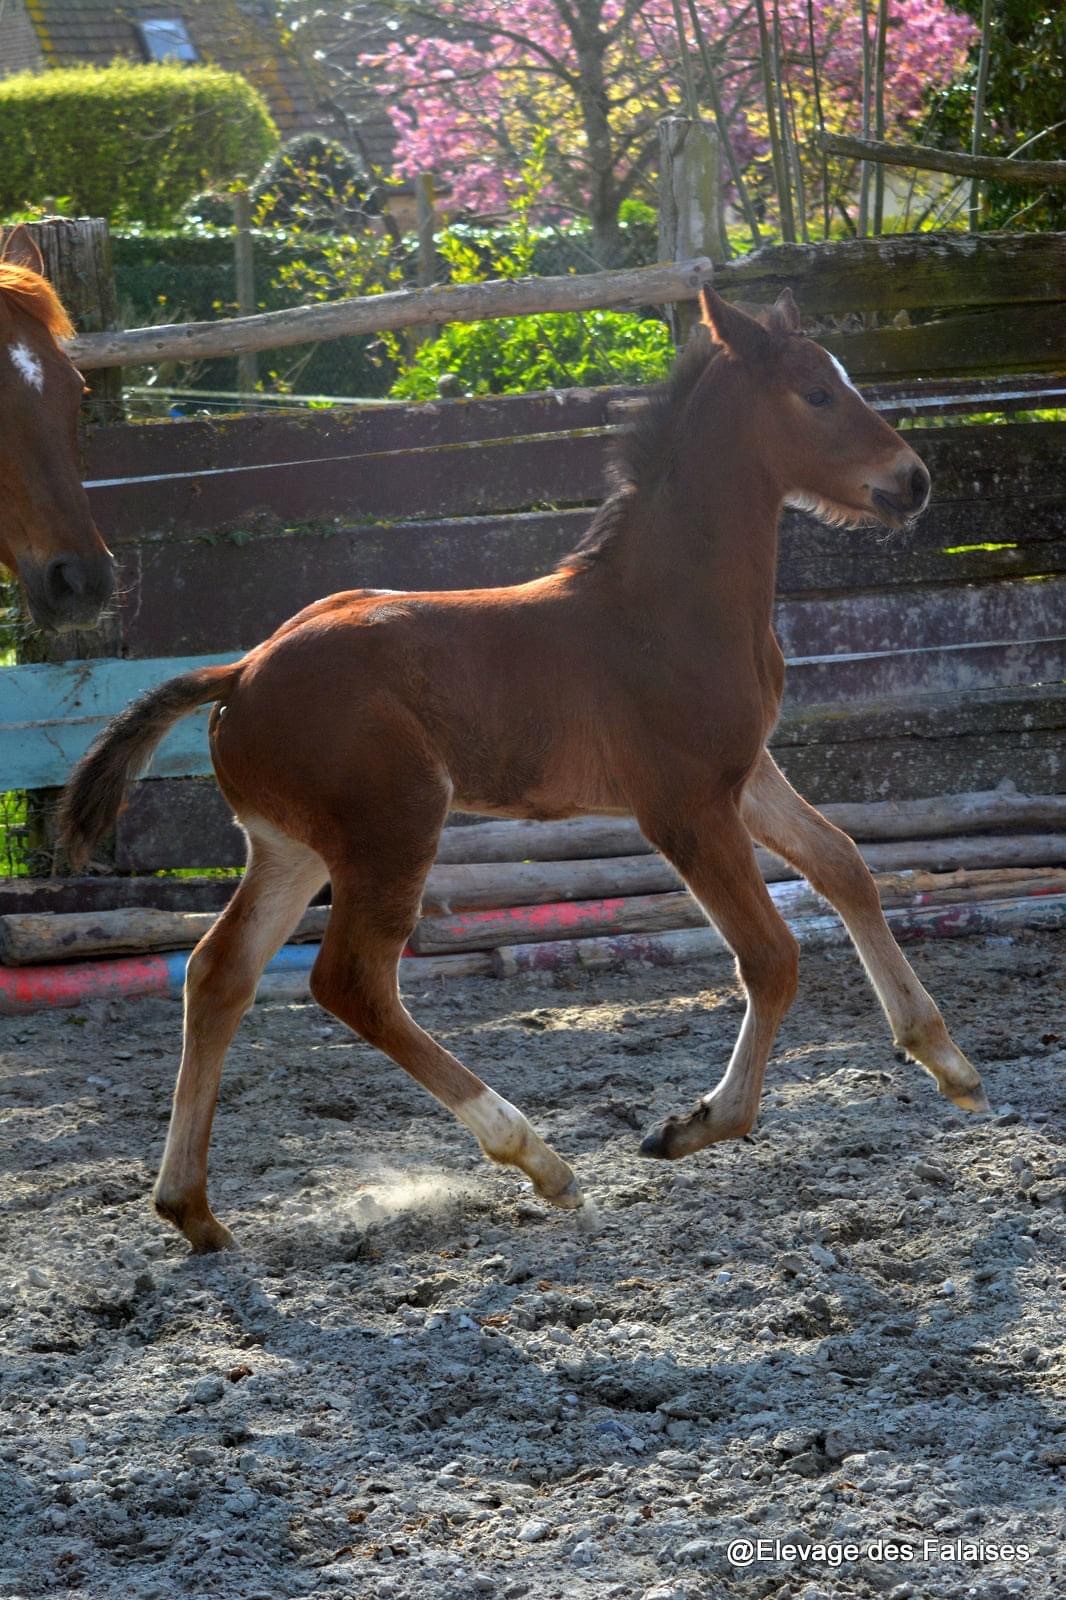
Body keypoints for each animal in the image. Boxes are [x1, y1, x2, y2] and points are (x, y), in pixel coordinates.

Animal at [60, 291, 985, 1260]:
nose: (914, 480)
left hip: (292, 847)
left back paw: (192, 1209)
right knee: (349, 980)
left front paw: (949, 1062)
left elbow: (844, 863)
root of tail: (239, 671)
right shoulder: (683, 805)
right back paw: (539, 1158)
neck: (664, 606)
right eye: (815, 393)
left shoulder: (745, 774)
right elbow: (771, 954)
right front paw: (694, 1125)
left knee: (218, 974)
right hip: (394, 826)